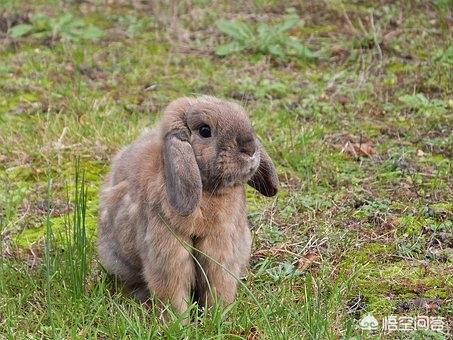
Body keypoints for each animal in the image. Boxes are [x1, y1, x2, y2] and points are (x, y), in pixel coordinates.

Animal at [97, 95, 278, 316]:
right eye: (205, 130)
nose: (250, 149)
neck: (207, 191)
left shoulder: (222, 251)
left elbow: (219, 285)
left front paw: (216, 316)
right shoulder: (168, 255)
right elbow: (173, 291)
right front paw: (178, 320)